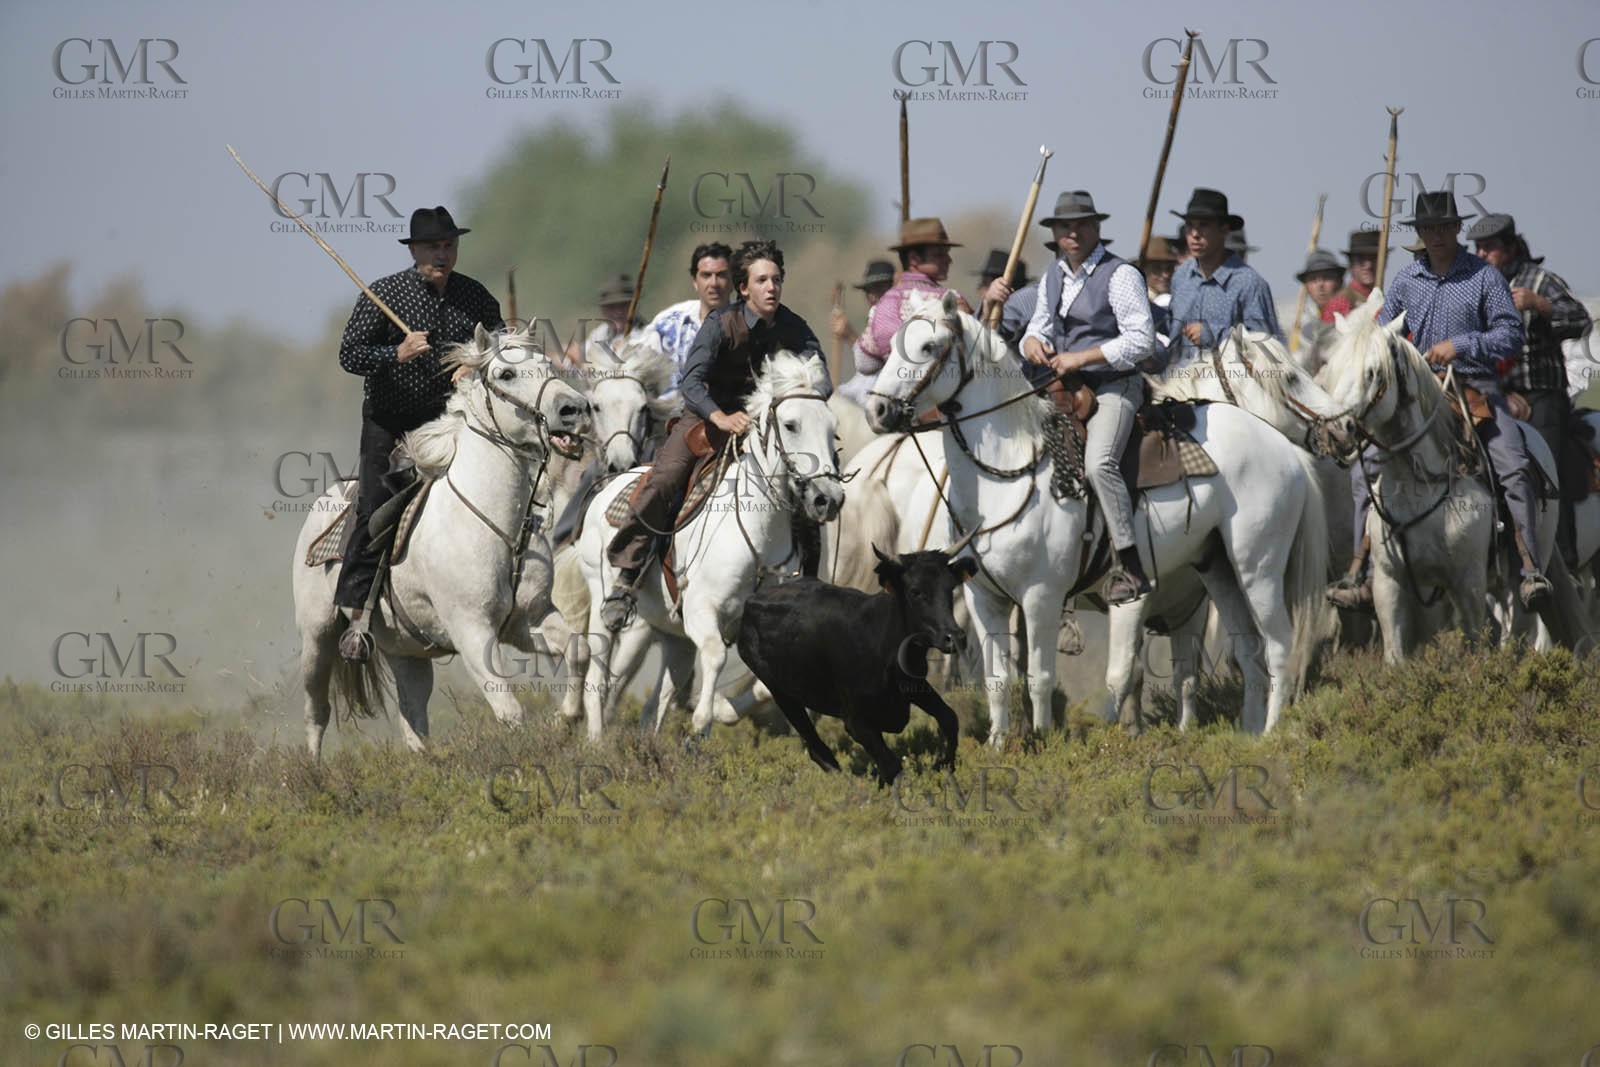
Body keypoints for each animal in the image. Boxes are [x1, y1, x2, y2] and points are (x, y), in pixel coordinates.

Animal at [293, 324, 591, 757]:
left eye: (548, 365)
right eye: (505, 374)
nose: (576, 410)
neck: (493, 526)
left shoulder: (529, 621)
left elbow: (579, 650)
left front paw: (566, 720)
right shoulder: (472, 630)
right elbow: (510, 711)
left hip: (405, 652)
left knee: (412, 721)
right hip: (317, 636)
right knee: (317, 710)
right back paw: (313, 770)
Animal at [571, 352, 844, 741]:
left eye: (832, 428)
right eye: (791, 425)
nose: (829, 498)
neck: (759, 535)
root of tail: (609, 484)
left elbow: (764, 685)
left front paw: (721, 709)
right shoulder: (702, 610)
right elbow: (715, 655)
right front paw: (702, 721)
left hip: (674, 636)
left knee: (657, 703)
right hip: (601, 605)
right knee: (597, 678)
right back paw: (596, 741)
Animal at [864, 291, 1328, 738]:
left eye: (928, 346)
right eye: (892, 345)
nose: (877, 411)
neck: (1008, 473)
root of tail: (1282, 446)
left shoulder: (1044, 596)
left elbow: (1044, 678)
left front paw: (1046, 743)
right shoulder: (985, 600)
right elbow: (997, 681)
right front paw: (999, 745)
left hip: (1257, 569)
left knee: (1278, 645)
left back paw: (1272, 733)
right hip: (1219, 570)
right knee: (1250, 651)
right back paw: (1250, 734)